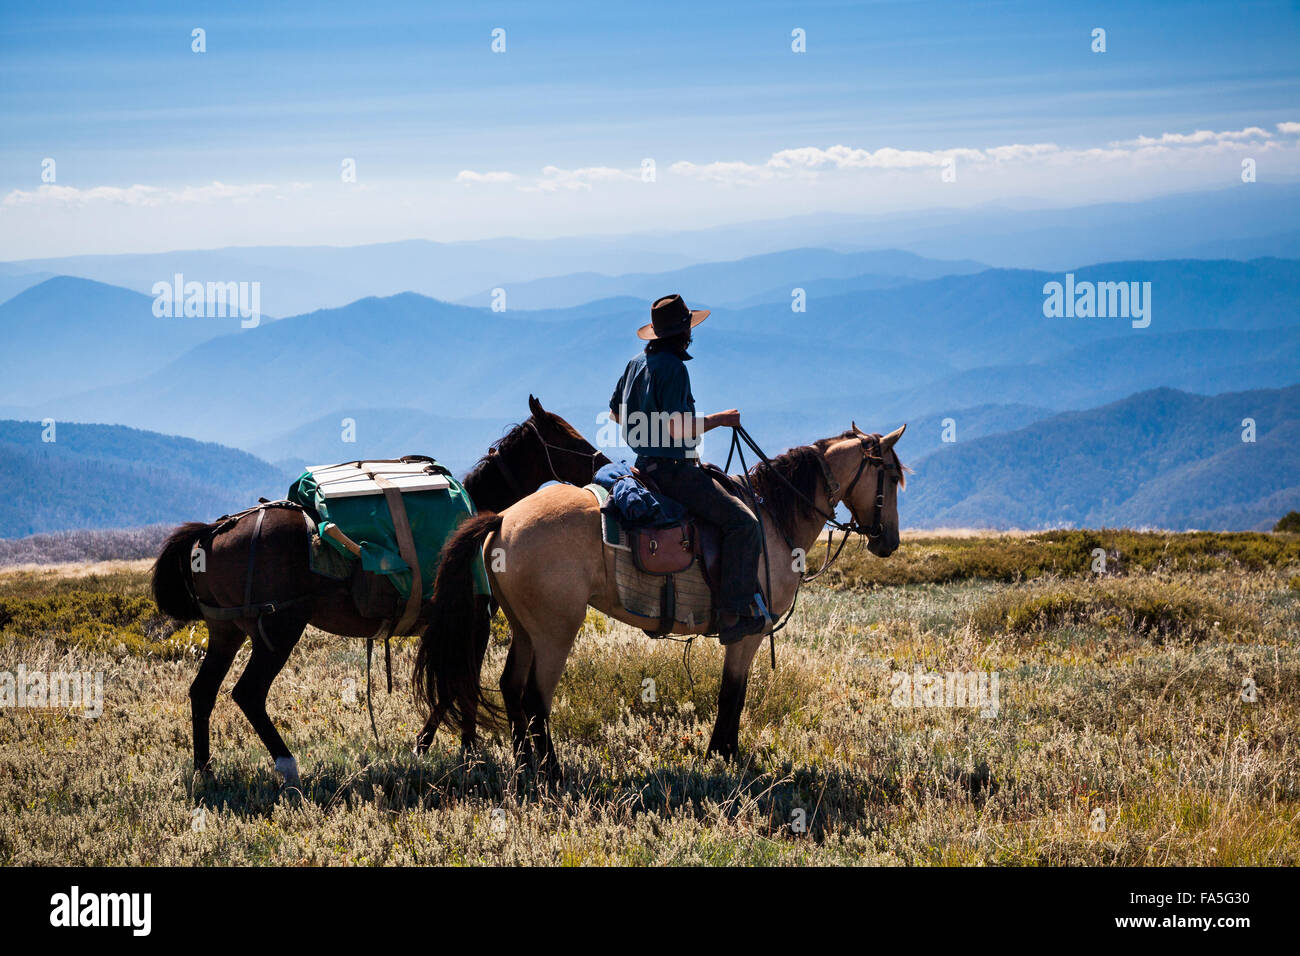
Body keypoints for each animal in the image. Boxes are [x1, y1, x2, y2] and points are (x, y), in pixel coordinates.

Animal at [150, 395, 608, 785]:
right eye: (567, 437)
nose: (604, 462)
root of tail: (210, 534)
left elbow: (449, 689)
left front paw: (427, 748)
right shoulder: (472, 623)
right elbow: (460, 687)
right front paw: (466, 753)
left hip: (226, 632)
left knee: (202, 692)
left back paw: (204, 771)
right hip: (278, 631)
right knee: (248, 694)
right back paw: (287, 765)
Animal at [413, 421, 904, 775]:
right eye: (892, 475)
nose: (890, 542)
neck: (773, 519)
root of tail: (502, 519)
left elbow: (732, 694)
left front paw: (722, 753)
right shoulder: (747, 634)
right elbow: (733, 694)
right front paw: (724, 754)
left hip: (525, 629)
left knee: (511, 687)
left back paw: (524, 764)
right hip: (556, 630)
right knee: (535, 698)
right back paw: (552, 772)